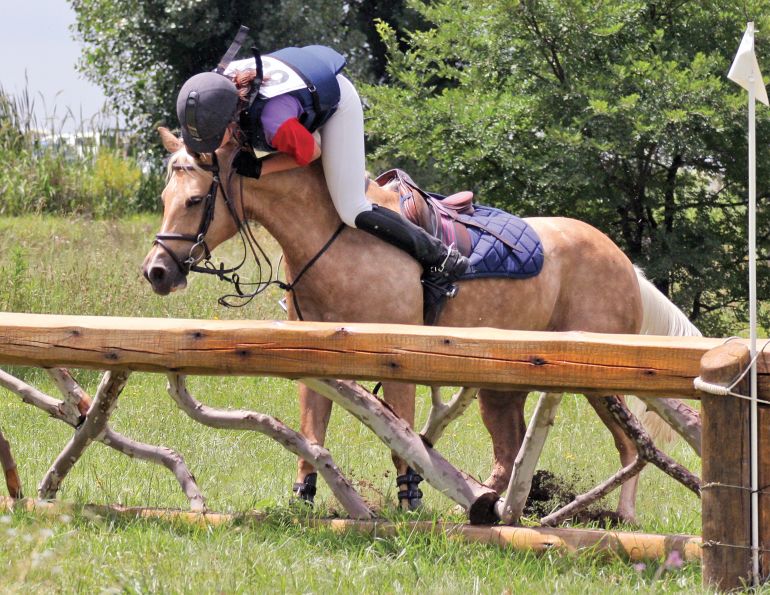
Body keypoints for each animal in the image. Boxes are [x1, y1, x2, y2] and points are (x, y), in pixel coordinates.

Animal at [143, 127, 696, 522]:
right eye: (165, 197)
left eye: (195, 200)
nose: (157, 271)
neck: (335, 238)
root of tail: (624, 262)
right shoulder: (313, 364)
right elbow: (312, 438)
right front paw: (303, 501)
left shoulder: (397, 360)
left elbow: (402, 439)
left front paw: (409, 503)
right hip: (504, 384)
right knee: (511, 449)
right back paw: (488, 508)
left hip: (601, 380)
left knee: (630, 445)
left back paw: (618, 518)